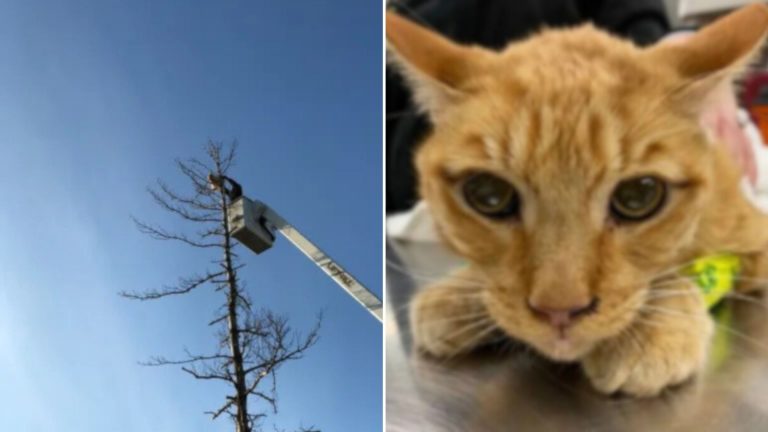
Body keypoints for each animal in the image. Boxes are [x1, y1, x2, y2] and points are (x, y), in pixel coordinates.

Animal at [388, 3, 768, 396]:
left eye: (638, 196)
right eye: (489, 195)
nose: (560, 311)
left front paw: (651, 326)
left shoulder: (756, 245)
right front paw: (461, 293)